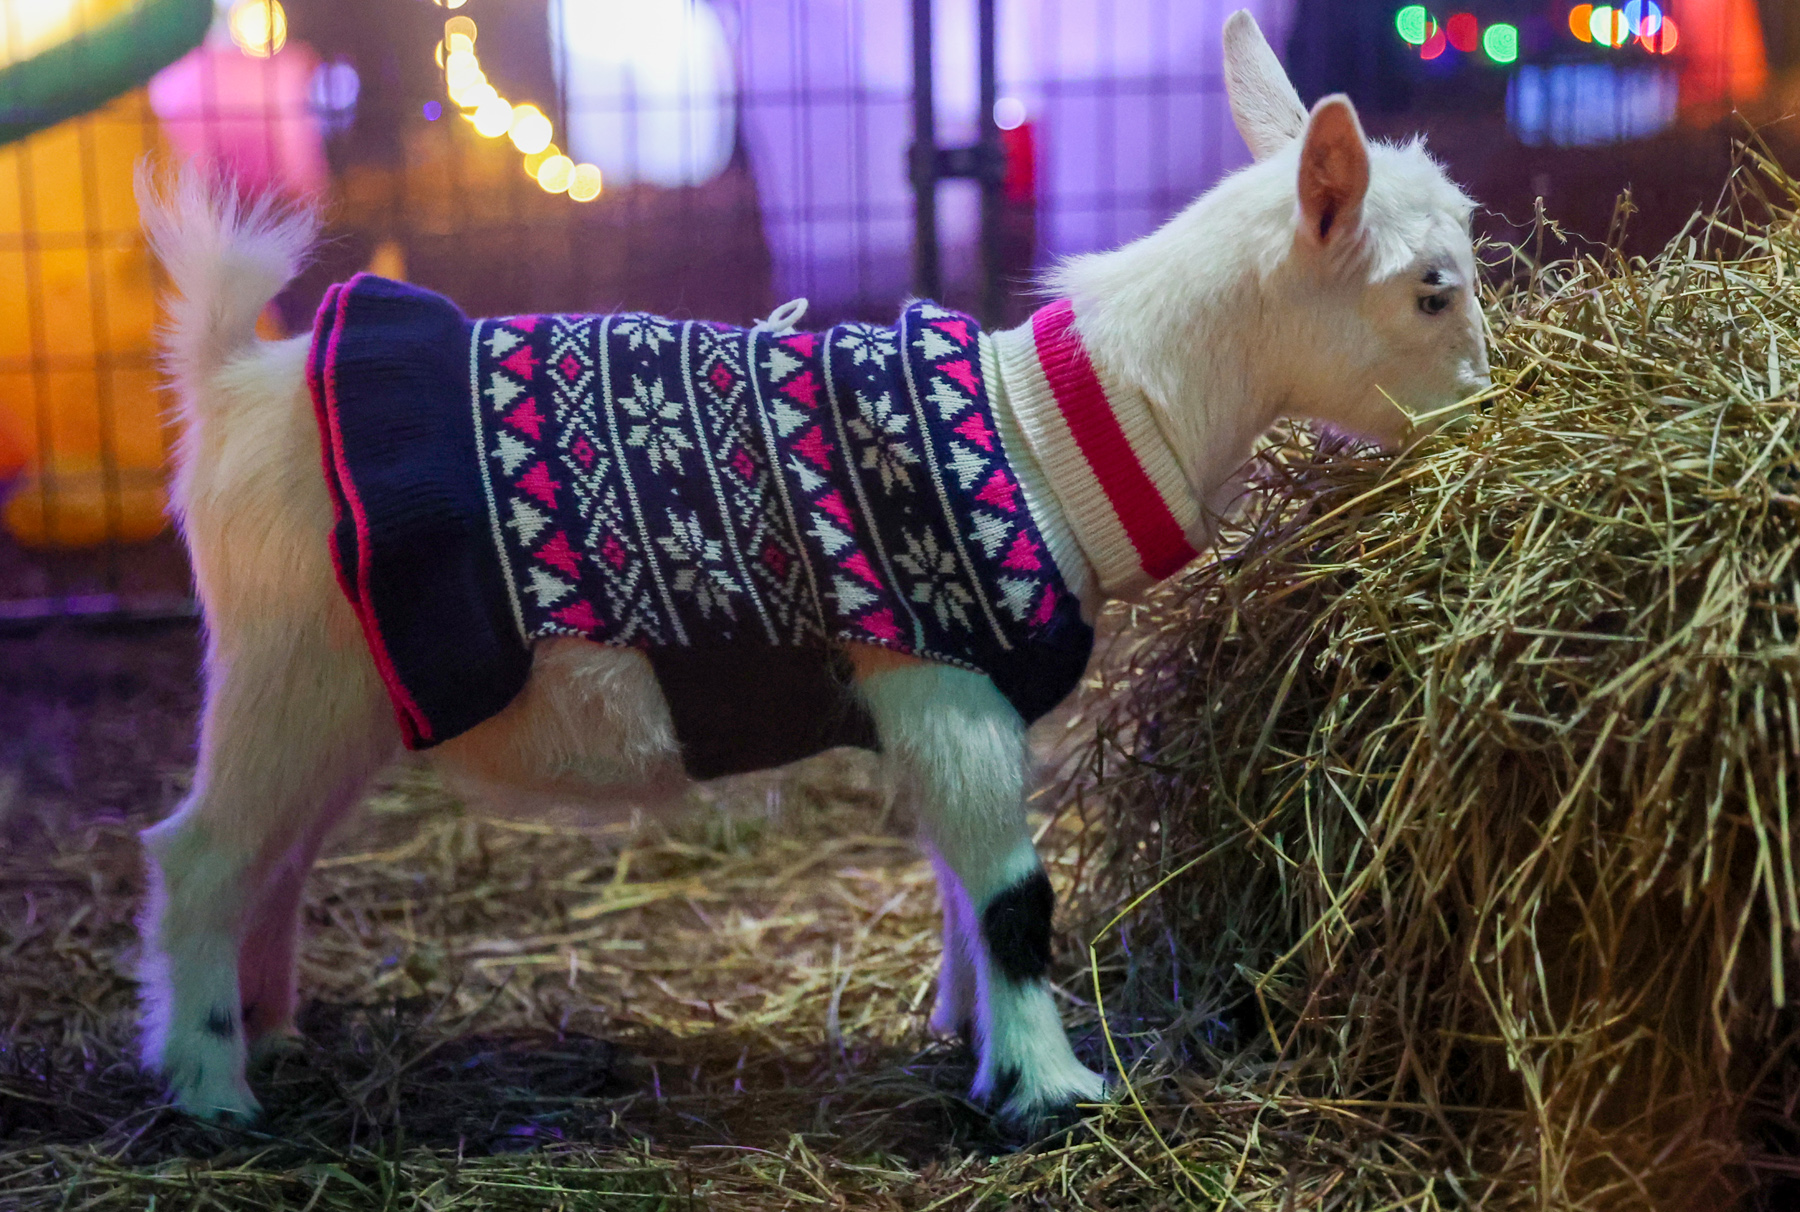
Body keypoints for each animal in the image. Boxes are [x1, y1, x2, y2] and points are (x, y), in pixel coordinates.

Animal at [132, 10, 1488, 1132]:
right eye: (1433, 290)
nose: (1491, 402)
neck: (1049, 429)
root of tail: (231, 387)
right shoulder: (940, 679)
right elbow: (1015, 896)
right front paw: (1054, 1088)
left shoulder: (953, 707)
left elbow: (961, 886)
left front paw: (973, 1046)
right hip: (287, 671)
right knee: (198, 858)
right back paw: (209, 1088)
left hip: (343, 700)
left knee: (274, 861)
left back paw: (270, 1031)